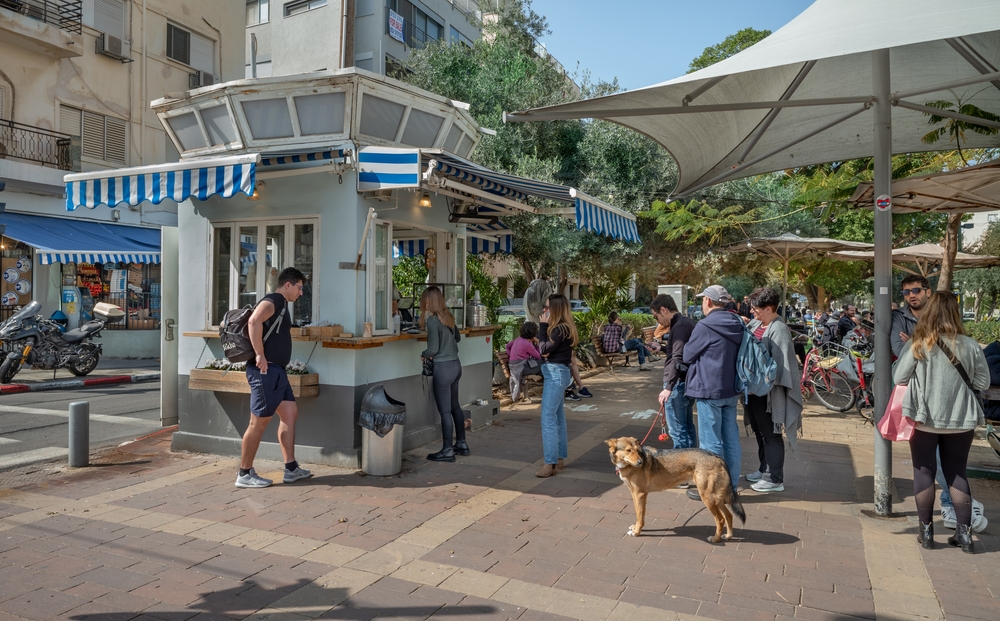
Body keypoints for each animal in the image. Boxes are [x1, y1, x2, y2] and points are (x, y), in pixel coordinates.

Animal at [608, 436, 744, 544]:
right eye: (629, 451)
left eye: (637, 451)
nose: (641, 462)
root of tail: (719, 458)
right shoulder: (634, 494)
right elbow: (638, 514)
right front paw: (636, 527)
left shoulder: (640, 494)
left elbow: (640, 516)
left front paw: (637, 532)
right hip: (717, 498)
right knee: (729, 516)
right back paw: (728, 536)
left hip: (708, 498)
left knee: (720, 519)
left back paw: (716, 539)